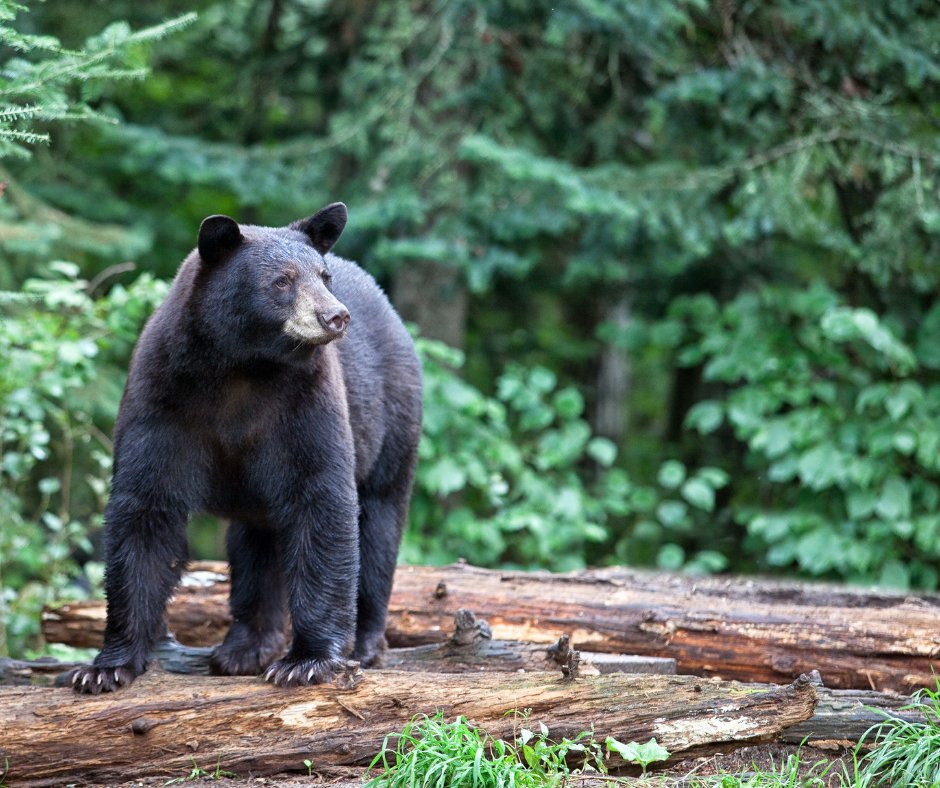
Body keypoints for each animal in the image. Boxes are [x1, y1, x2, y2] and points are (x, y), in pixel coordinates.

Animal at [69, 202, 422, 693]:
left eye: (323, 275)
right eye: (282, 281)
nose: (335, 316)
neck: (243, 367)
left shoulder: (305, 404)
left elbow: (322, 500)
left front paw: (307, 661)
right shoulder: (162, 398)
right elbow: (145, 509)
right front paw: (105, 667)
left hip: (392, 421)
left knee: (379, 523)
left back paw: (366, 643)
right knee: (257, 544)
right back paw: (244, 647)